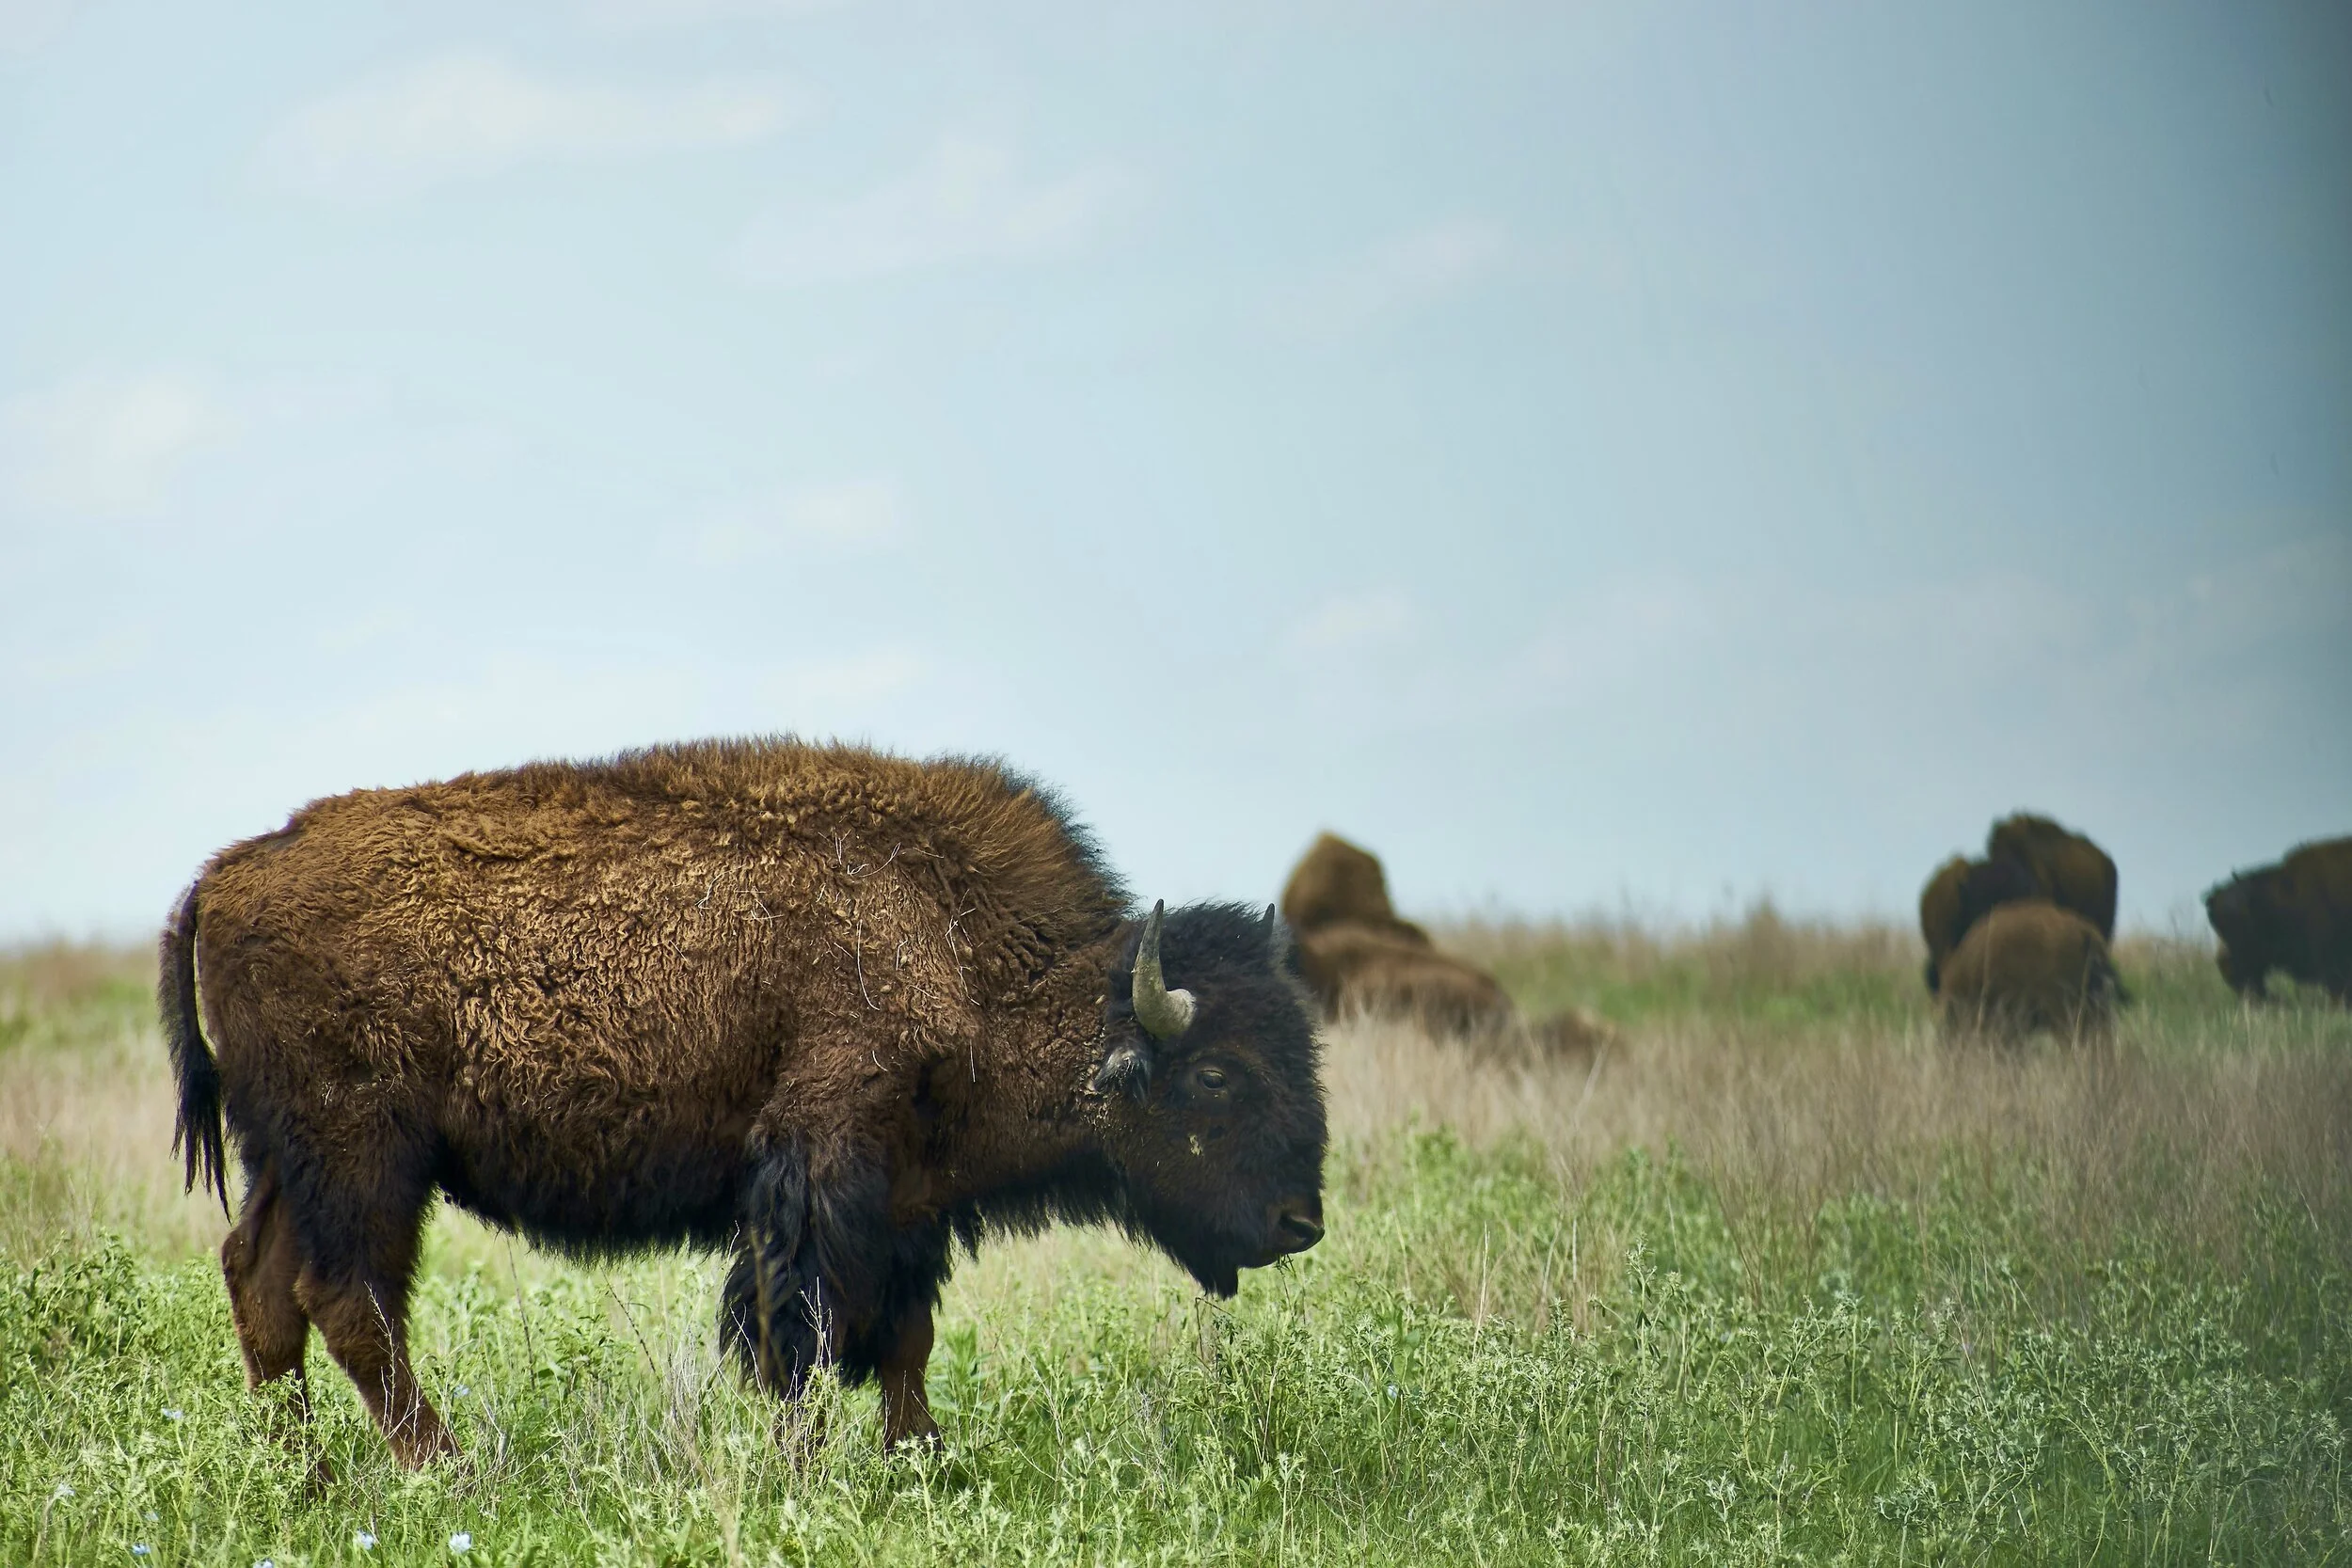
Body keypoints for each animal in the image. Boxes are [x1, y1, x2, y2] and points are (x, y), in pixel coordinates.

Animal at [162, 739, 1328, 1466]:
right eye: (1216, 1074)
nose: (1300, 1221)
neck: (954, 942)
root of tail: (225, 875)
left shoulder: (909, 1201)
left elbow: (903, 1338)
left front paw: (923, 1460)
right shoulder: (820, 1166)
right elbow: (799, 1333)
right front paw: (805, 1471)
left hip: (289, 1159)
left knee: (264, 1285)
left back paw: (308, 1480)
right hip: (363, 1153)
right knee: (348, 1299)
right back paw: (447, 1470)